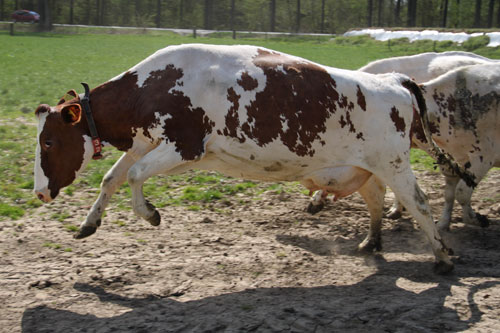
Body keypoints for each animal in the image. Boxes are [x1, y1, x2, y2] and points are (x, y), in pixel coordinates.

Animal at [34, 44, 464, 272]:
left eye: (49, 142)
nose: (39, 192)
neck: (154, 85)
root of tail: (393, 81)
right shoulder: (145, 143)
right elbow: (113, 178)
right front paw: (89, 224)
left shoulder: (182, 145)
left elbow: (136, 175)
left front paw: (150, 213)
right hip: (366, 167)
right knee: (376, 199)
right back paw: (372, 242)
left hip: (394, 163)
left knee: (419, 204)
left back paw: (443, 257)